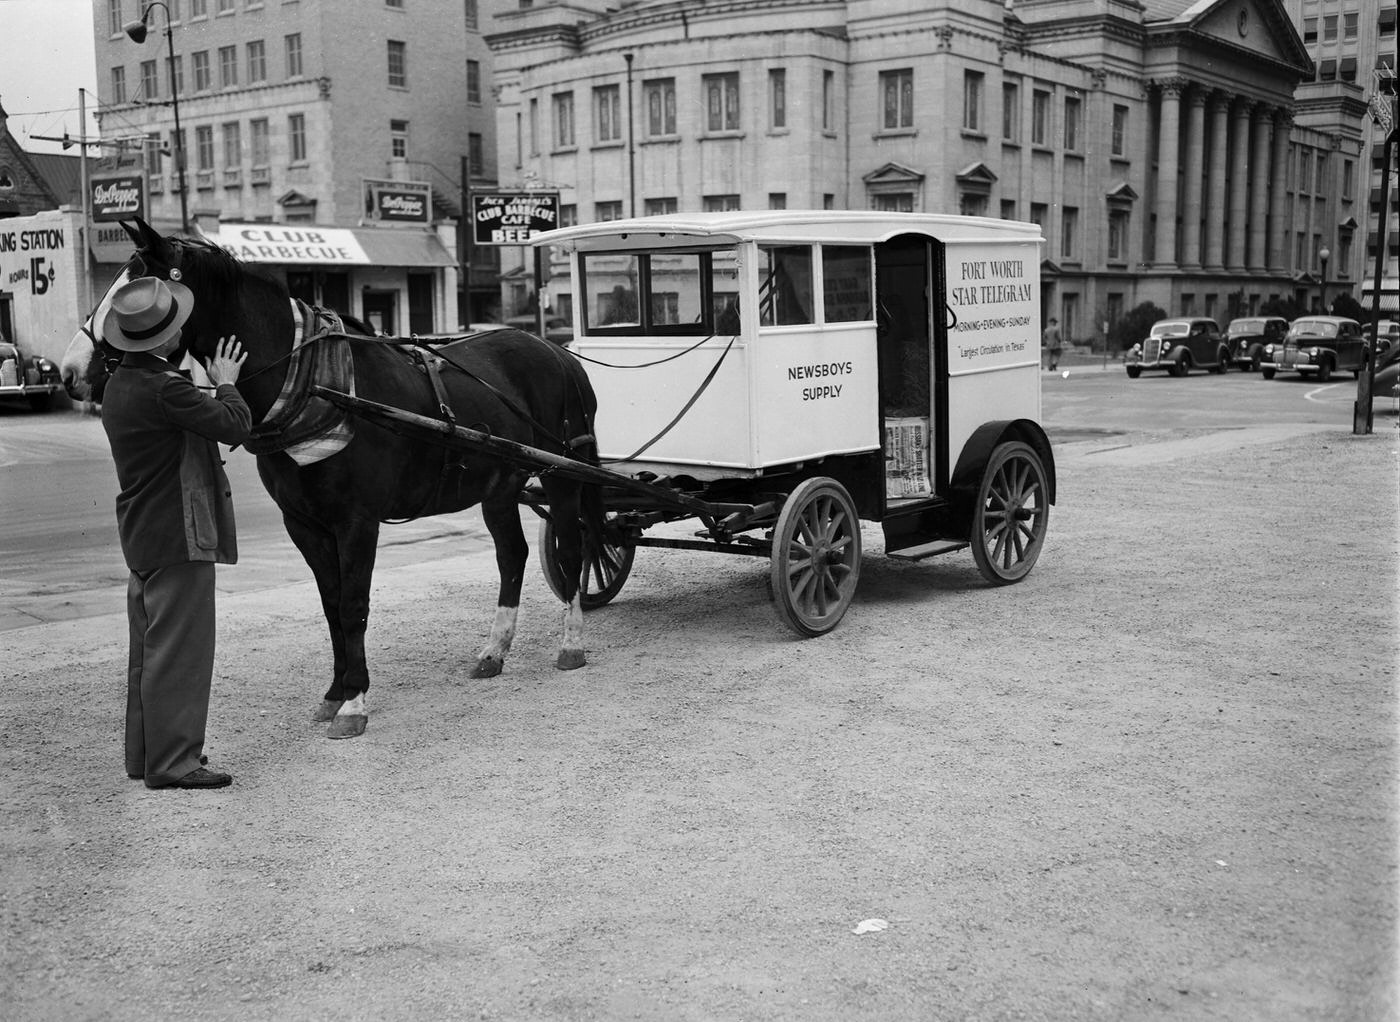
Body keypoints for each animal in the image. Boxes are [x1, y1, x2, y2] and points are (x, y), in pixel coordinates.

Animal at [61, 221, 602, 733]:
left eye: (136, 288)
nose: (70, 371)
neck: (314, 383)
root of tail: (556, 352)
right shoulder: (304, 525)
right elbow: (330, 604)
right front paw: (335, 692)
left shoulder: (356, 522)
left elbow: (353, 605)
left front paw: (354, 702)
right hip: (499, 485)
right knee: (512, 557)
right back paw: (494, 650)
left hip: (562, 476)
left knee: (573, 550)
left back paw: (571, 643)